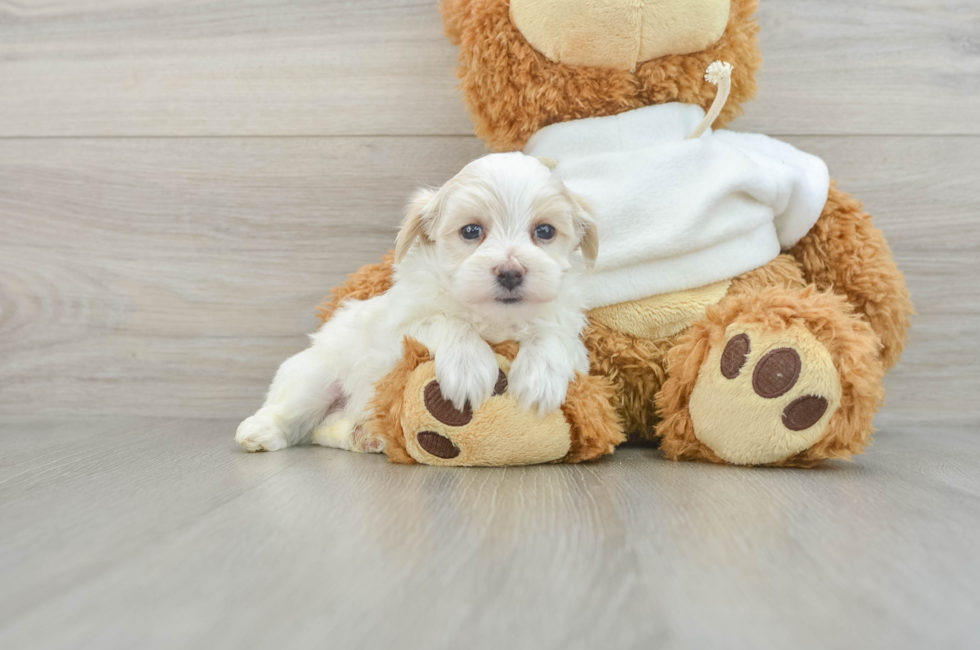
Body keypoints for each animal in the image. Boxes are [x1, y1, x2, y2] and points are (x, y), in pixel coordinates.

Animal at [235, 154, 596, 454]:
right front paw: (468, 369)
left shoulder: (571, 336)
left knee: (323, 430)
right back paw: (259, 432)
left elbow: (553, 336)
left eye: (545, 231)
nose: (510, 272)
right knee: (288, 413)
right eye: (471, 230)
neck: (492, 318)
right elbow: (446, 320)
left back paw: (365, 435)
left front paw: (540, 378)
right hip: (313, 377)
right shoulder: (401, 328)